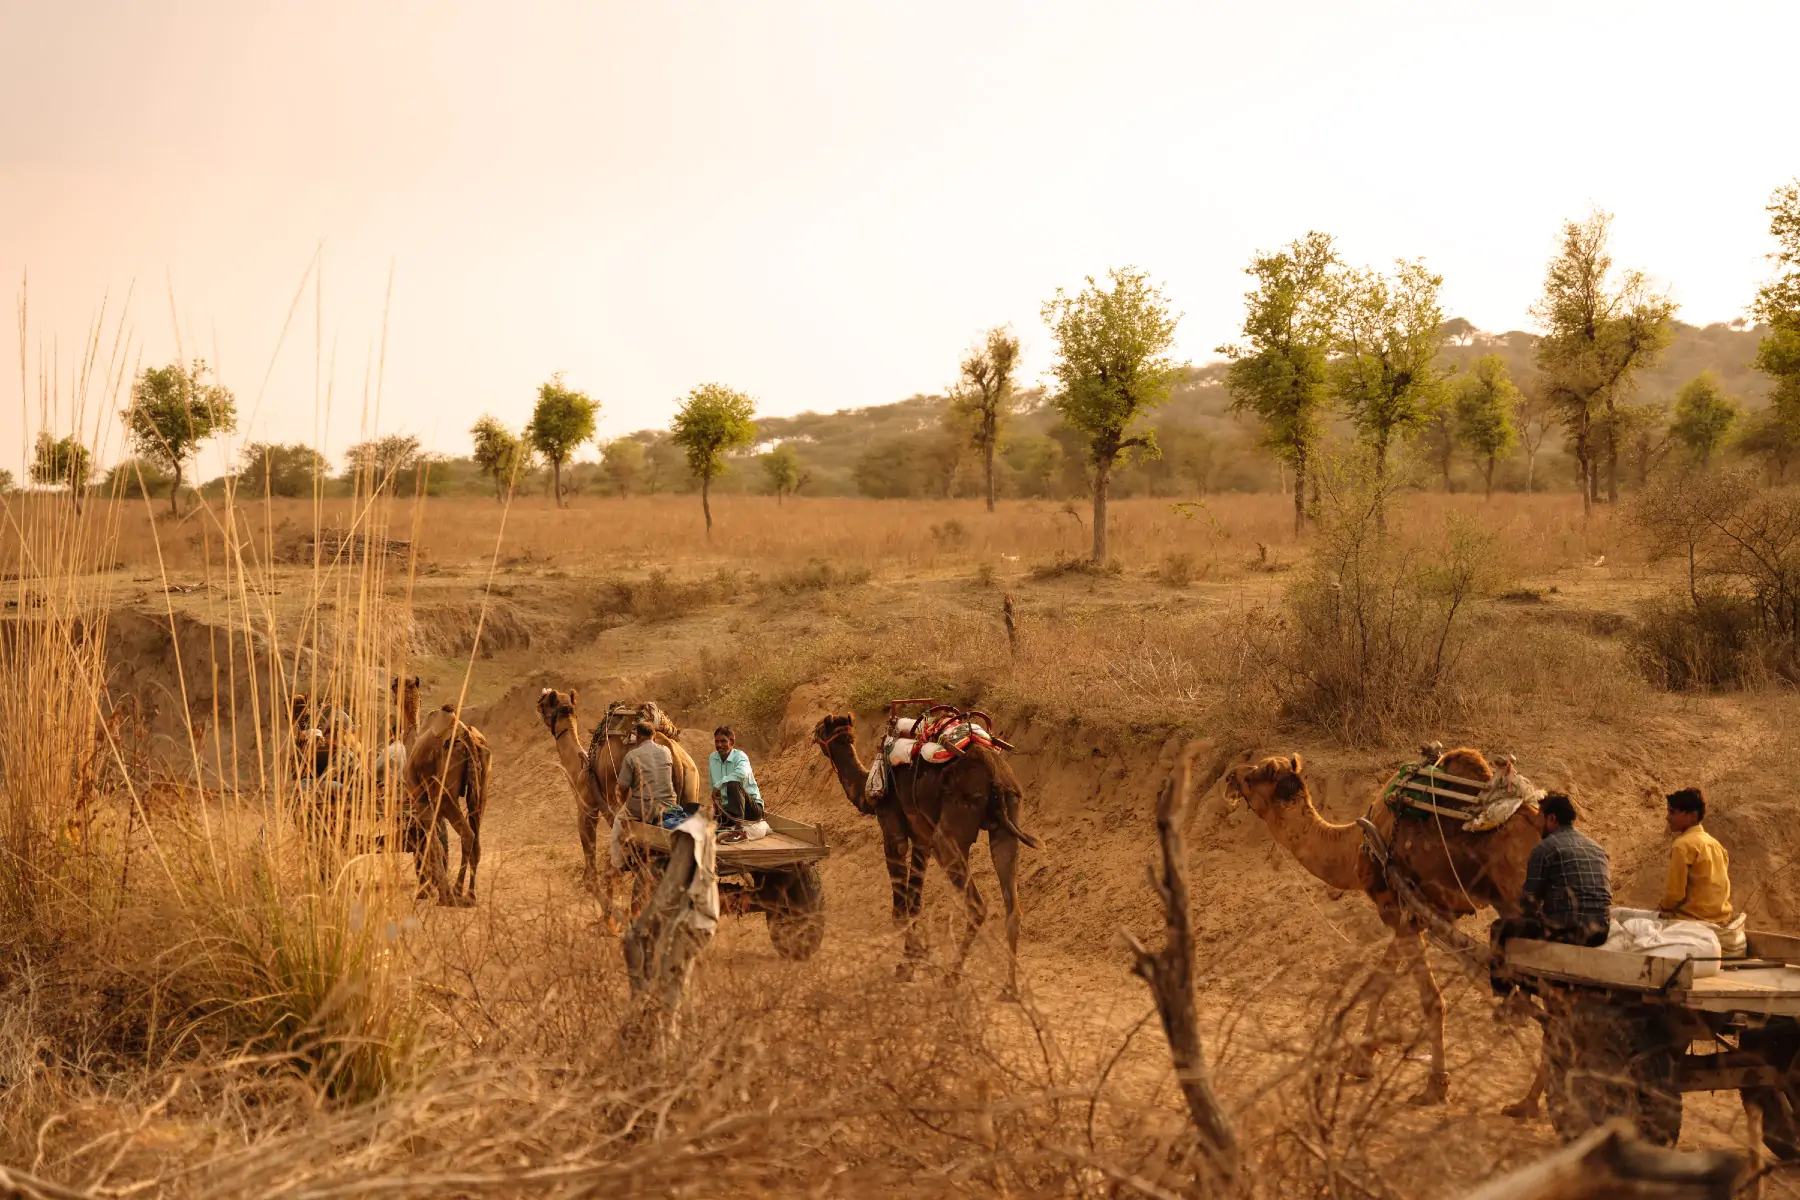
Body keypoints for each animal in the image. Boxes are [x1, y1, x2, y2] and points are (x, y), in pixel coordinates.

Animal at [405, 698, 493, 906]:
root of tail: (468, 738)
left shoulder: (419, 795)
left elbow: (432, 842)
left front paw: (436, 891)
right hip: (480, 791)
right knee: (476, 839)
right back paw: (469, 895)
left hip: (444, 795)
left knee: (467, 834)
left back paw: (455, 891)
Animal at [529, 690, 698, 935]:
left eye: (546, 701)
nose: (538, 699)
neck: (579, 770)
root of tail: (676, 754)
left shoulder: (587, 808)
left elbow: (592, 876)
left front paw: (610, 917)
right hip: (690, 789)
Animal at [817, 712, 1044, 993]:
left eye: (821, 730)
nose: (813, 733)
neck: (868, 792)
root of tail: (997, 779)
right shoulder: (921, 841)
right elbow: (915, 906)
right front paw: (911, 962)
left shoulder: (893, 831)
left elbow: (900, 910)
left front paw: (912, 960)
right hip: (1007, 824)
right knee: (1013, 907)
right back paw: (1009, 988)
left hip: (948, 838)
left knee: (977, 906)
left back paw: (953, 975)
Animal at [1224, 752, 1548, 1108]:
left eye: (1258, 773)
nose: (1231, 774)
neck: (1355, 844)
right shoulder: (1417, 913)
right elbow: (1381, 980)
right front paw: (1362, 1060)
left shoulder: (1397, 906)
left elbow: (1425, 997)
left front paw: (1435, 1085)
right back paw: (1532, 1100)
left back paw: (1532, 1101)